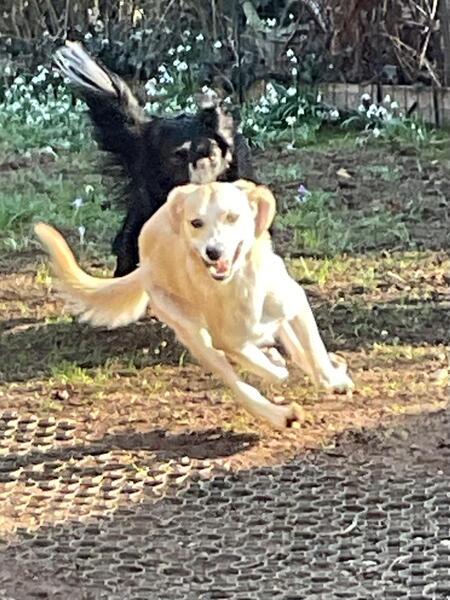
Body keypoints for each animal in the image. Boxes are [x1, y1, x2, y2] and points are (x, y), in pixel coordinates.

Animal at [35, 180, 353, 429]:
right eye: (196, 223)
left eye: (232, 217)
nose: (214, 252)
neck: (239, 282)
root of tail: (143, 264)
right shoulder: (226, 340)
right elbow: (261, 364)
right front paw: (275, 367)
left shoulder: (295, 303)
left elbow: (313, 350)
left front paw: (331, 379)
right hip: (194, 336)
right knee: (240, 384)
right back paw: (278, 413)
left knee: (294, 347)